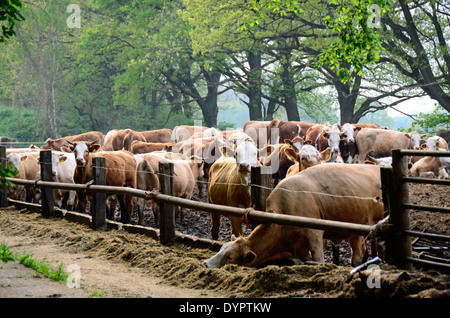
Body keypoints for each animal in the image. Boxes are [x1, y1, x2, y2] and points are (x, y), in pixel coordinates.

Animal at [206, 163, 384, 268]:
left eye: (230, 257)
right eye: (221, 249)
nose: (207, 264)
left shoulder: (314, 234)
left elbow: (318, 261)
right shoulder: (299, 248)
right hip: (356, 231)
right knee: (360, 252)